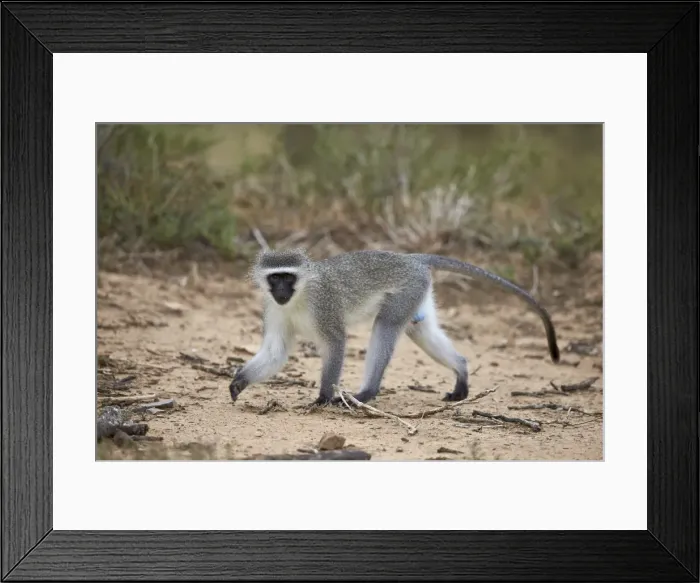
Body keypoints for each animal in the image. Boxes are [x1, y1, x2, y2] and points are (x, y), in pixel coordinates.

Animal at [228, 247, 560, 407]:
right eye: (274, 278)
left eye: (288, 277)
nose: (281, 291)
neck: (298, 297)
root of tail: (409, 258)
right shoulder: (272, 308)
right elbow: (275, 351)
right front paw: (239, 382)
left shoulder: (325, 306)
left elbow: (336, 342)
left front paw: (322, 398)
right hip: (417, 292)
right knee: (420, 330)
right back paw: (462, 372)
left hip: (407, 290)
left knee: (385, 326)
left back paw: (366, 394)